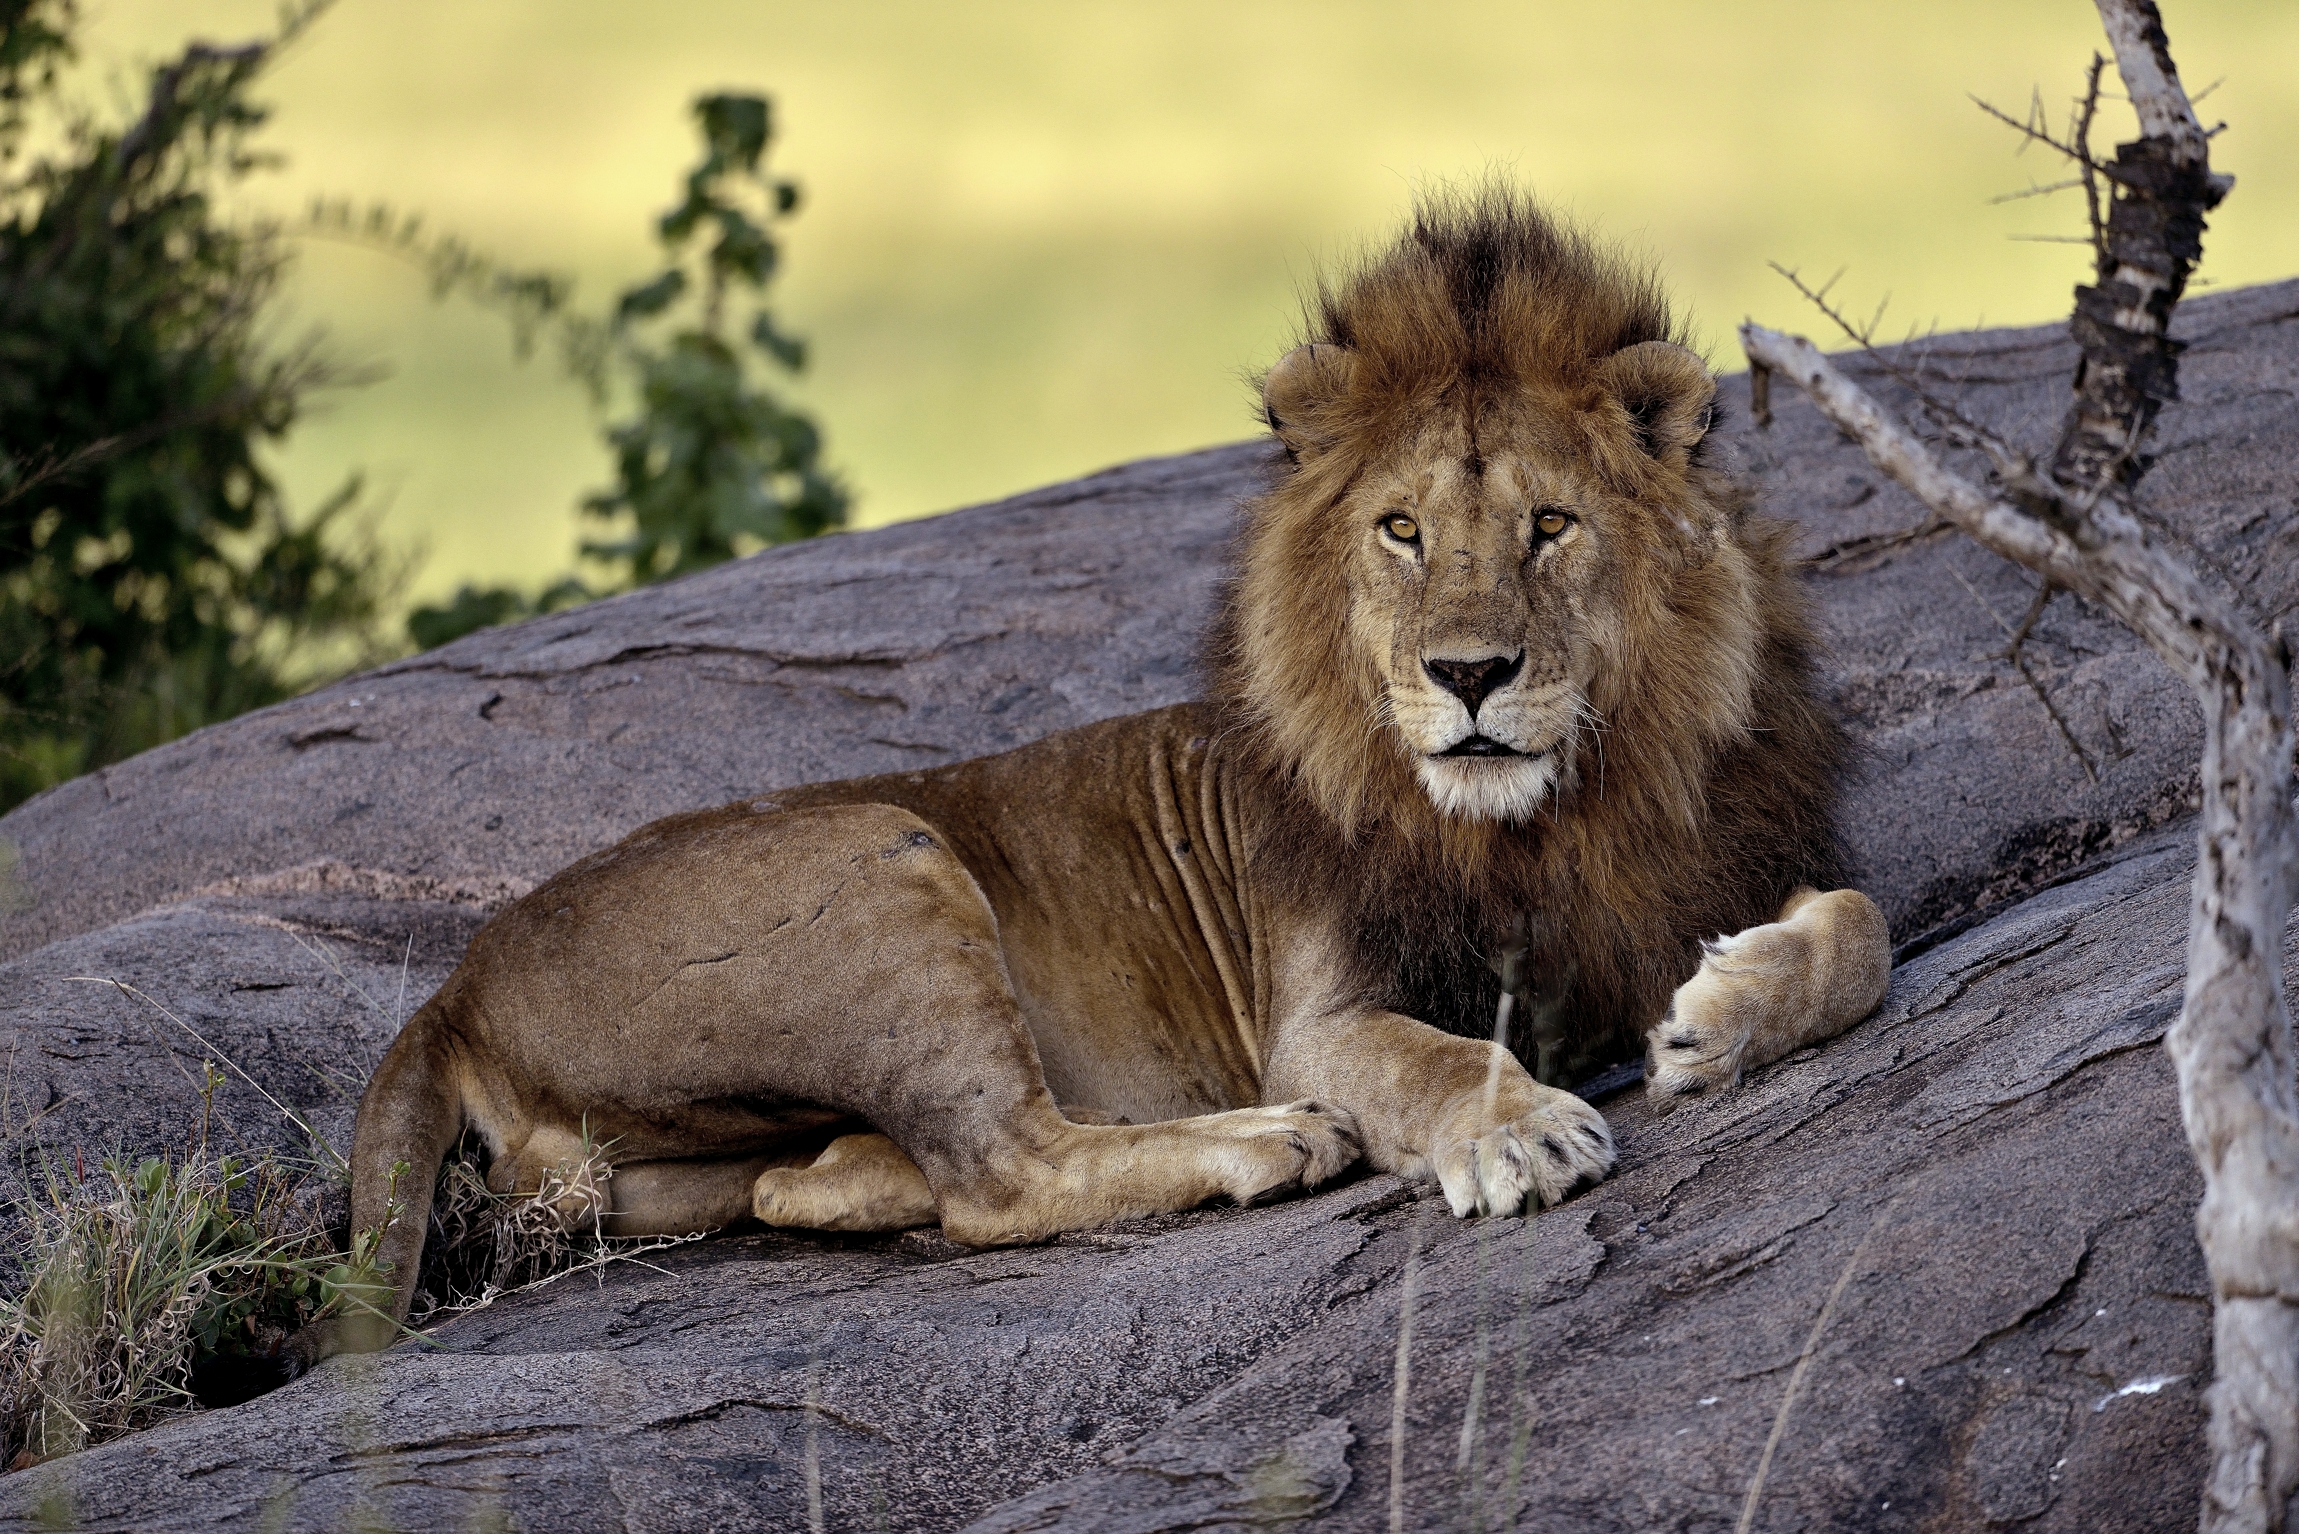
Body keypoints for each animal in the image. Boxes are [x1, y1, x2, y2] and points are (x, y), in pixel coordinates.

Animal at [288, 187, 1888, 1374]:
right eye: (1400, 532)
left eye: (1550, 525)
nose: (1471, 675)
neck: (1550, 819)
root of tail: (455, 982)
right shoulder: (1317, 1015)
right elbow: (1431, 1059)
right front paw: (1521, 1129)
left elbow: (1860, 933)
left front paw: (1723, 1016)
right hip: (883, 854)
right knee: (1003, 1175)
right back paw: (1264, 1145)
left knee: (818, 1184)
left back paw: (855, 1163)